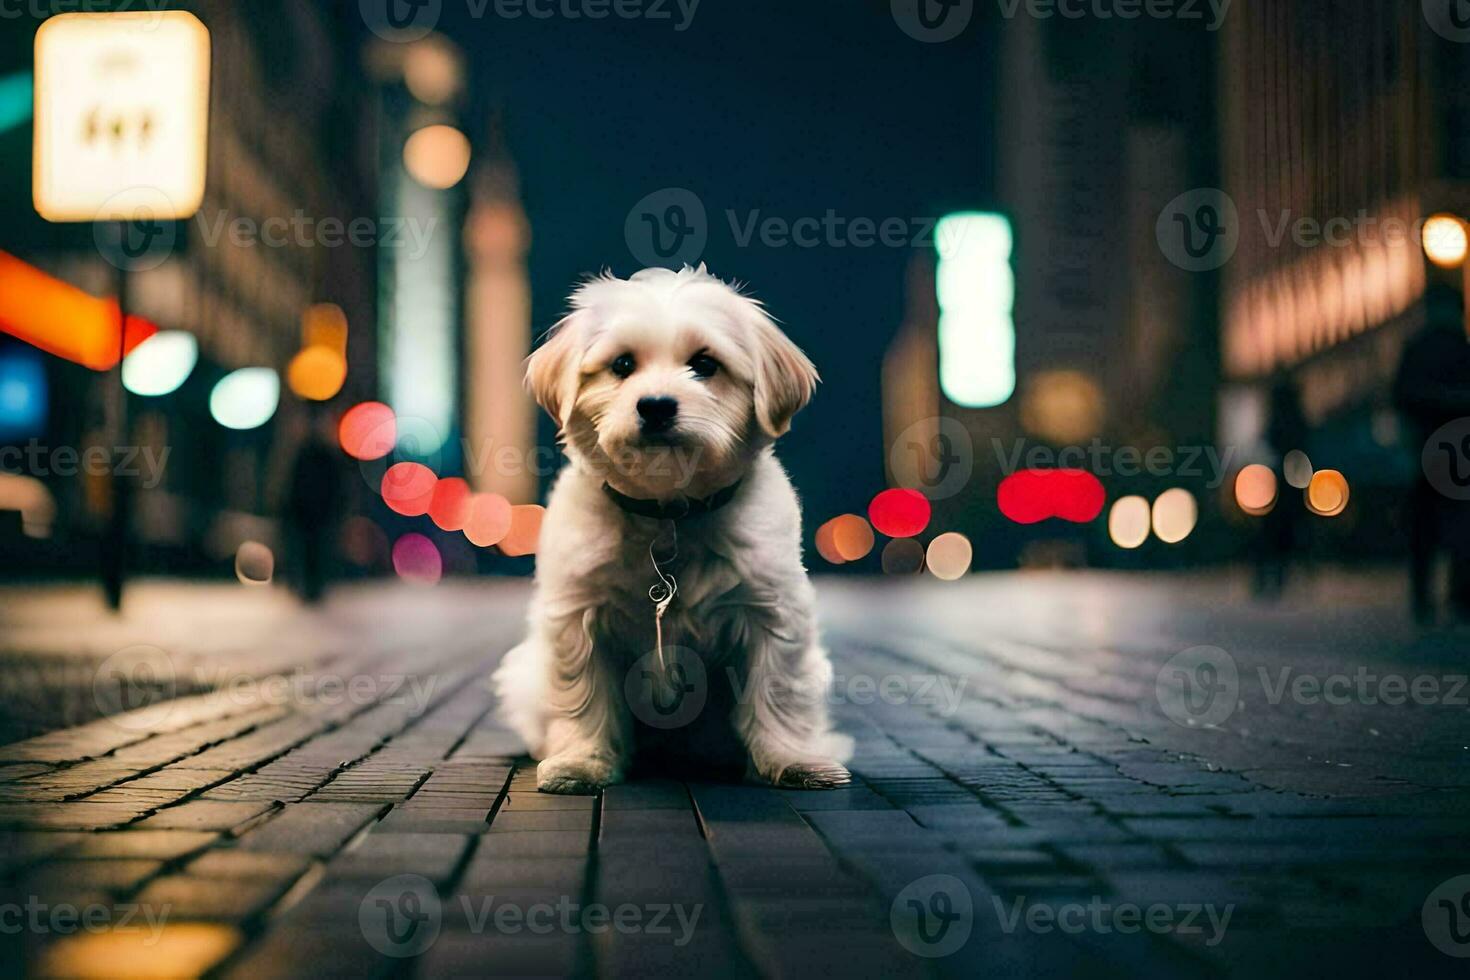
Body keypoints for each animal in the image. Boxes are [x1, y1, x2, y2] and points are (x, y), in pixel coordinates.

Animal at [499, 265, 858, 799]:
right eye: (622, 364)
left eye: (705, 364)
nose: (655, 406)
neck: (667, 513)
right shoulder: (578, 618)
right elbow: (583, 695)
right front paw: (582, 760)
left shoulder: (774, 611)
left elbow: (778, 691)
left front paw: (792, 760)